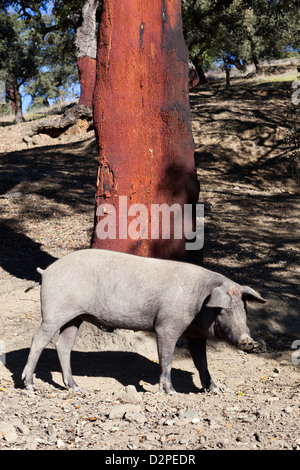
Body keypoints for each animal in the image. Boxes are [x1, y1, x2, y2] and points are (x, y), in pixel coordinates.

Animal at [22, 248, 268, 394]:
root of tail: (47, 271)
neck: (200, 299)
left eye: (243, 309)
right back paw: (30, 386)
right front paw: (171, 392)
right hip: (54, 311)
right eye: (222, 311)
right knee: (38, 339)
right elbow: (166, 357)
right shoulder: (166, 325)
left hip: (74, 317)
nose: (248, 341)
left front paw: (216, 390)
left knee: (63, 345)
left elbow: (201, 362)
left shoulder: (194, 334)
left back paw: (76, 388)